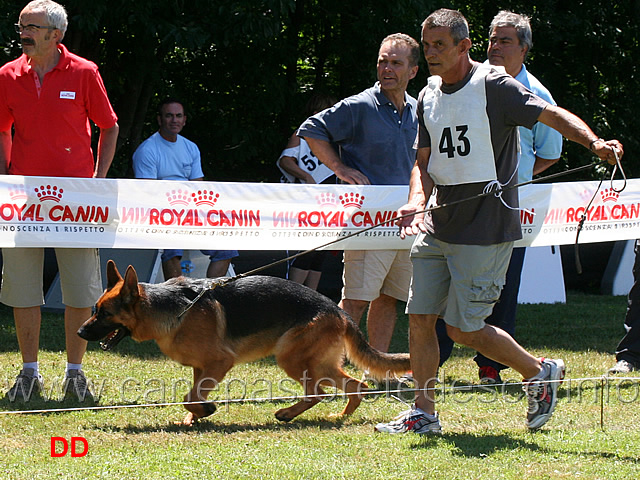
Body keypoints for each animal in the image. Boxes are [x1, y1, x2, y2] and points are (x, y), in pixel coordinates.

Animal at [79, 260, 410, 426]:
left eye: (104, 314)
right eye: (95, 310)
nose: (81, 333)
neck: (171, 309)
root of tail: (338, 311)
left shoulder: (219, 362)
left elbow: (189, 396)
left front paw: (206, 410)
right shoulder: (201, 369)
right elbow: (192, 394)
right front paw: (196, 415)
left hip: (292, 359)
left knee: (318, 392)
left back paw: (287, 414)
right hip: (320, 364)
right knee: (356, 385)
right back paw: (340, 417)